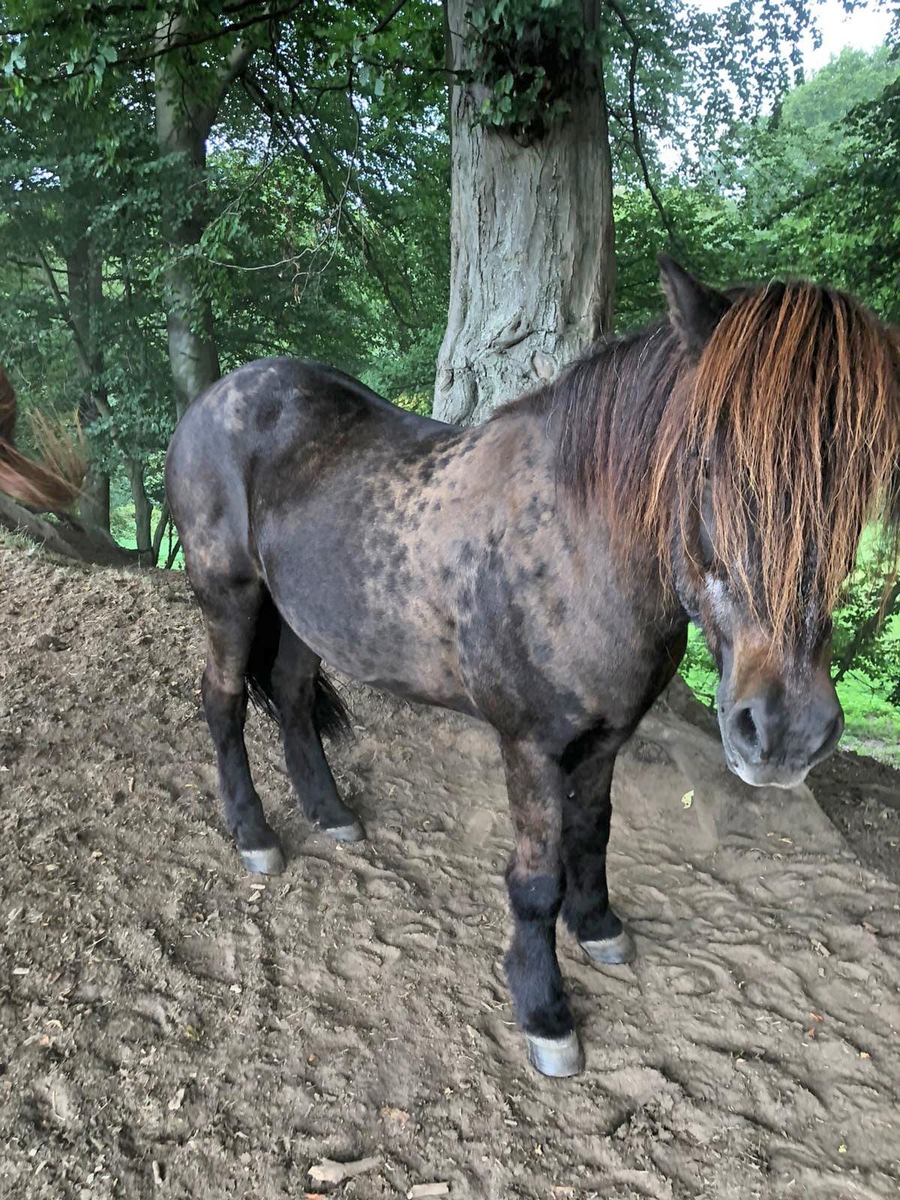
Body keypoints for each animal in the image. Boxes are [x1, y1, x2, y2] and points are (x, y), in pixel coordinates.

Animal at [165, 260, 897, 1080]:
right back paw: (254, 834)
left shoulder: (607, 738)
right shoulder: (530, 746)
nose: (785, 730)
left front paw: (599, 926)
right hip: (229, 596)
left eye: (859, 487)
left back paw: (331, 813)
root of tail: (215, 397)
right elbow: (536, 879)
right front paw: (545, 1011)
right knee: (222, 701)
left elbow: (593, 832)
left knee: (291, 697)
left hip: (301, 617)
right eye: (707, 459)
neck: (578, 546)